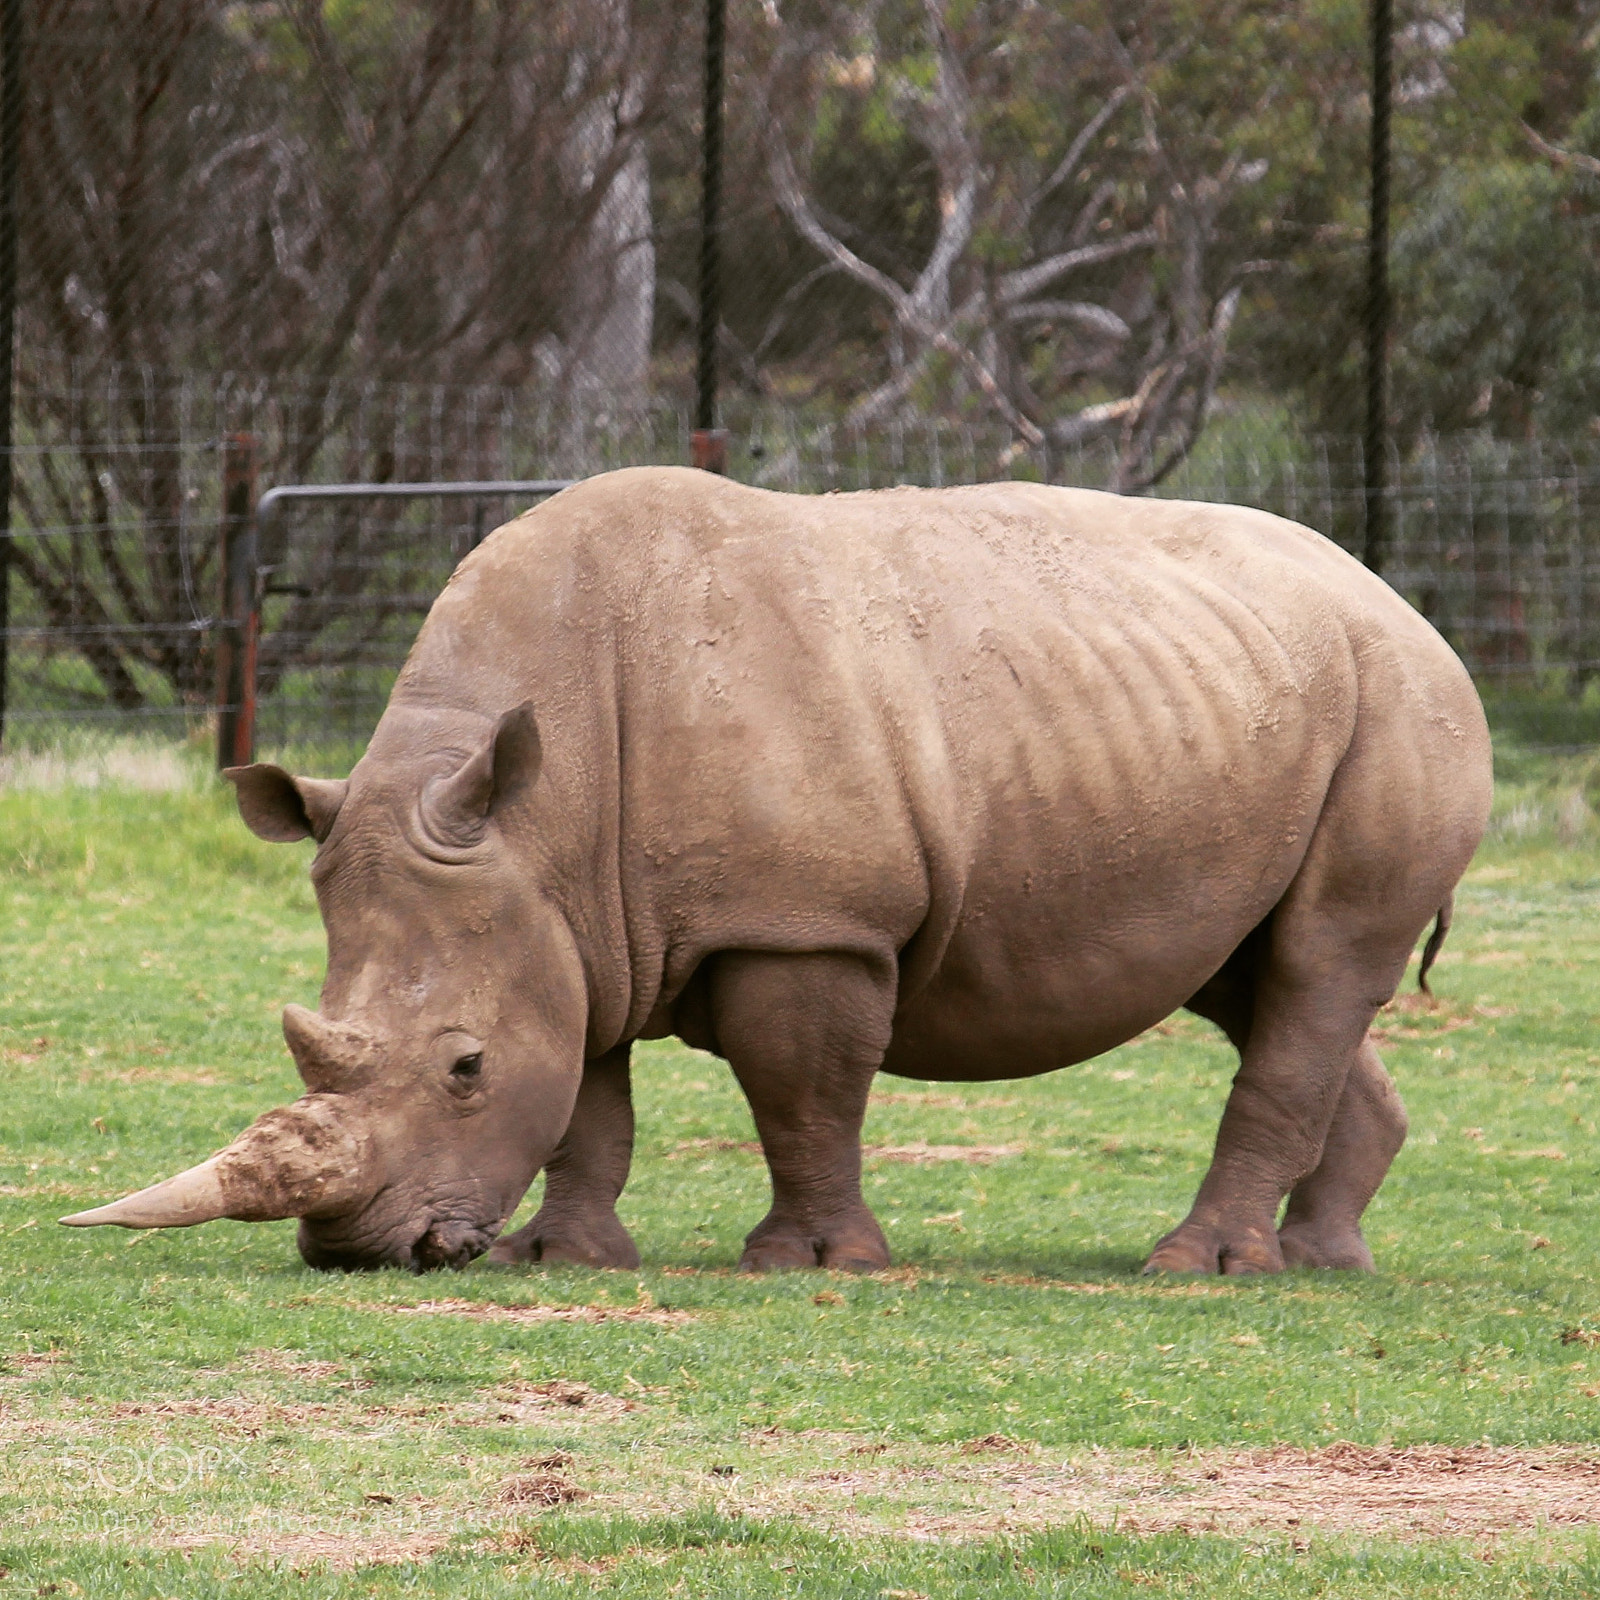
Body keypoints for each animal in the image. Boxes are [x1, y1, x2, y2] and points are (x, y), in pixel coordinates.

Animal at [64, 467, 1492, 1275]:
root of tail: (1404, 600)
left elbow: (801, 1093)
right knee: (1258, 975)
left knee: (1317, 964)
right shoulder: (573, 923)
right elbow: (589, 1096)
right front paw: (560, 1257)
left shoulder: (805, 920)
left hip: (1405, 704)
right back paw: (1322, 1261)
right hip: (1238, 710)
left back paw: (1199, 1269)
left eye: (462, 1069)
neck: (542, 817)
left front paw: (808, 1261)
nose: (364, 1251)